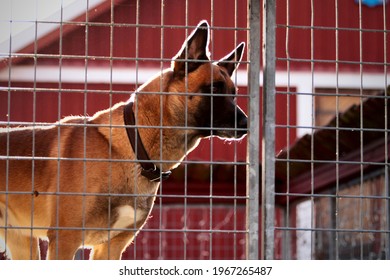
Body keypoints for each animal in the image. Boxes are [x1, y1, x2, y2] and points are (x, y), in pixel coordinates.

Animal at [0, 20, 247, 260]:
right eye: (214, 89)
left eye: (233, 94)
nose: (245, 124)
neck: (132, 146)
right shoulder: (65, 241)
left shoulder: (111, 248)